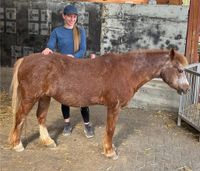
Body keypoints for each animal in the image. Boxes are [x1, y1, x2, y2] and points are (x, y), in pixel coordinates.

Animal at [9, 48, 190, 159]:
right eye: (180, 70)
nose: (187, 89)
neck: (127, 71)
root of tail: (25, 59)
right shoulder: (114, 107)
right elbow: (110, 130)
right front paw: (110, 152)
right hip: (30, 97)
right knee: (20, 117)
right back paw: (17, 145)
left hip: (44, 97)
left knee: (40, 117)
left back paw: (48, 142)